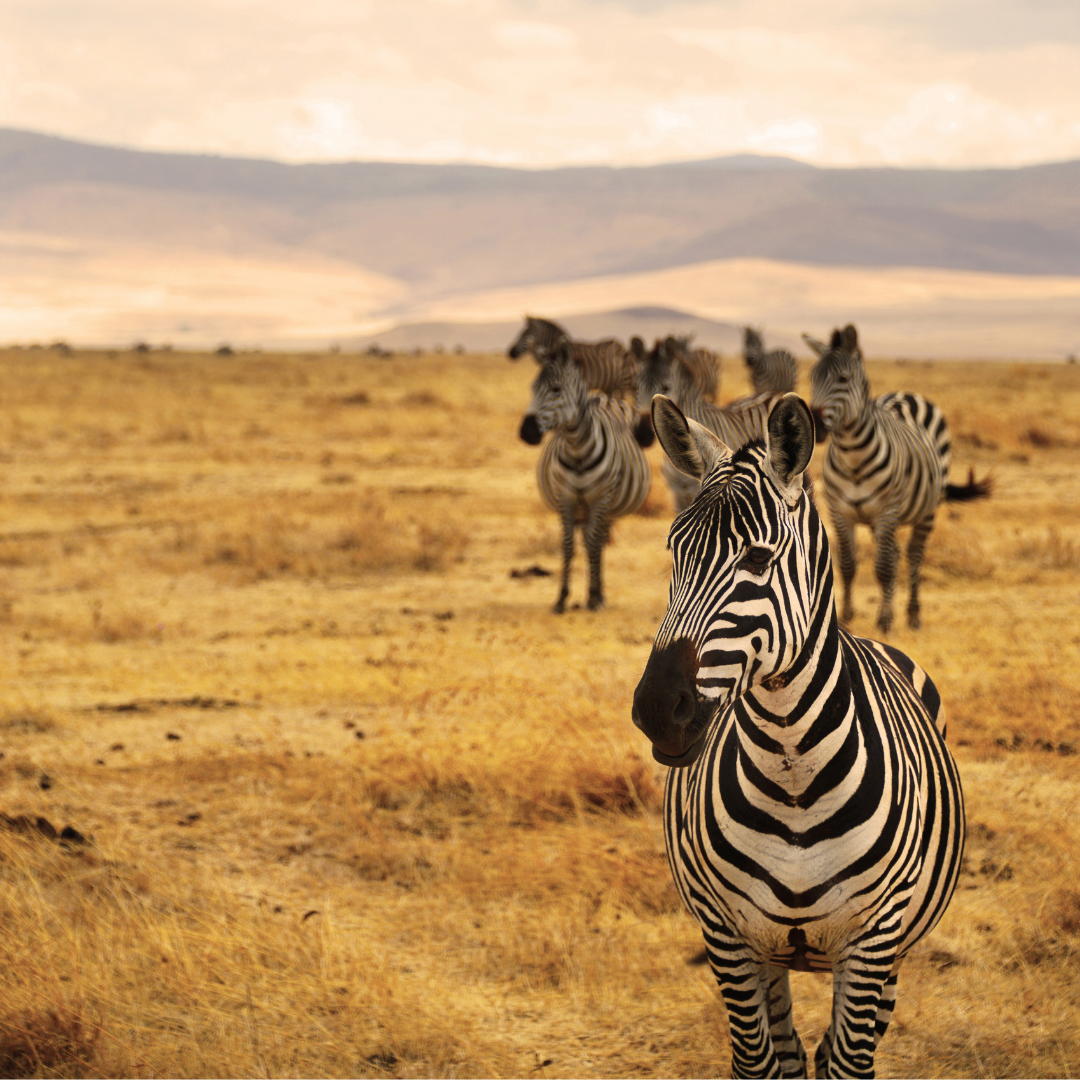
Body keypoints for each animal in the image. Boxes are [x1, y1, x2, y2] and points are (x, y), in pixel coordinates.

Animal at [520, 341, 648, 613]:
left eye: (556, 389)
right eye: (532, 389)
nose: (526, 432)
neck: (576, 448)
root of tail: (606, 397)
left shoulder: (600, 498)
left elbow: (592, 543)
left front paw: (592, 596)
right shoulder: (565, 497)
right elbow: (567, 545)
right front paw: (562, 597)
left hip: (608, 503)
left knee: (597, 541)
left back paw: (599, 594)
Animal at [630, 393, 967, 1075]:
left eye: (758, 559)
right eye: (674, 550)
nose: (656, 708)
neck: (792, 774)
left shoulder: (873, 941)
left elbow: (847, 1060)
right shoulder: (728, 937)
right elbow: (758, 1061)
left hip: (891, 954)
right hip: (771, 955)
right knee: (788, 1050)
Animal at [812, 326, 993, 630]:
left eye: (843, 379)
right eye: (811, 378)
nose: (813, 423)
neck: (853, 458)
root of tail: (906, 393)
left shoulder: (886, 511)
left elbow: (884, 567)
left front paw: (885, 619)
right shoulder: (840, 511)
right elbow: (847, 565)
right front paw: (847, 616)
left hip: (926, 509)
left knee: (913, 556)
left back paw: (913, 614)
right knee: (895, 554)